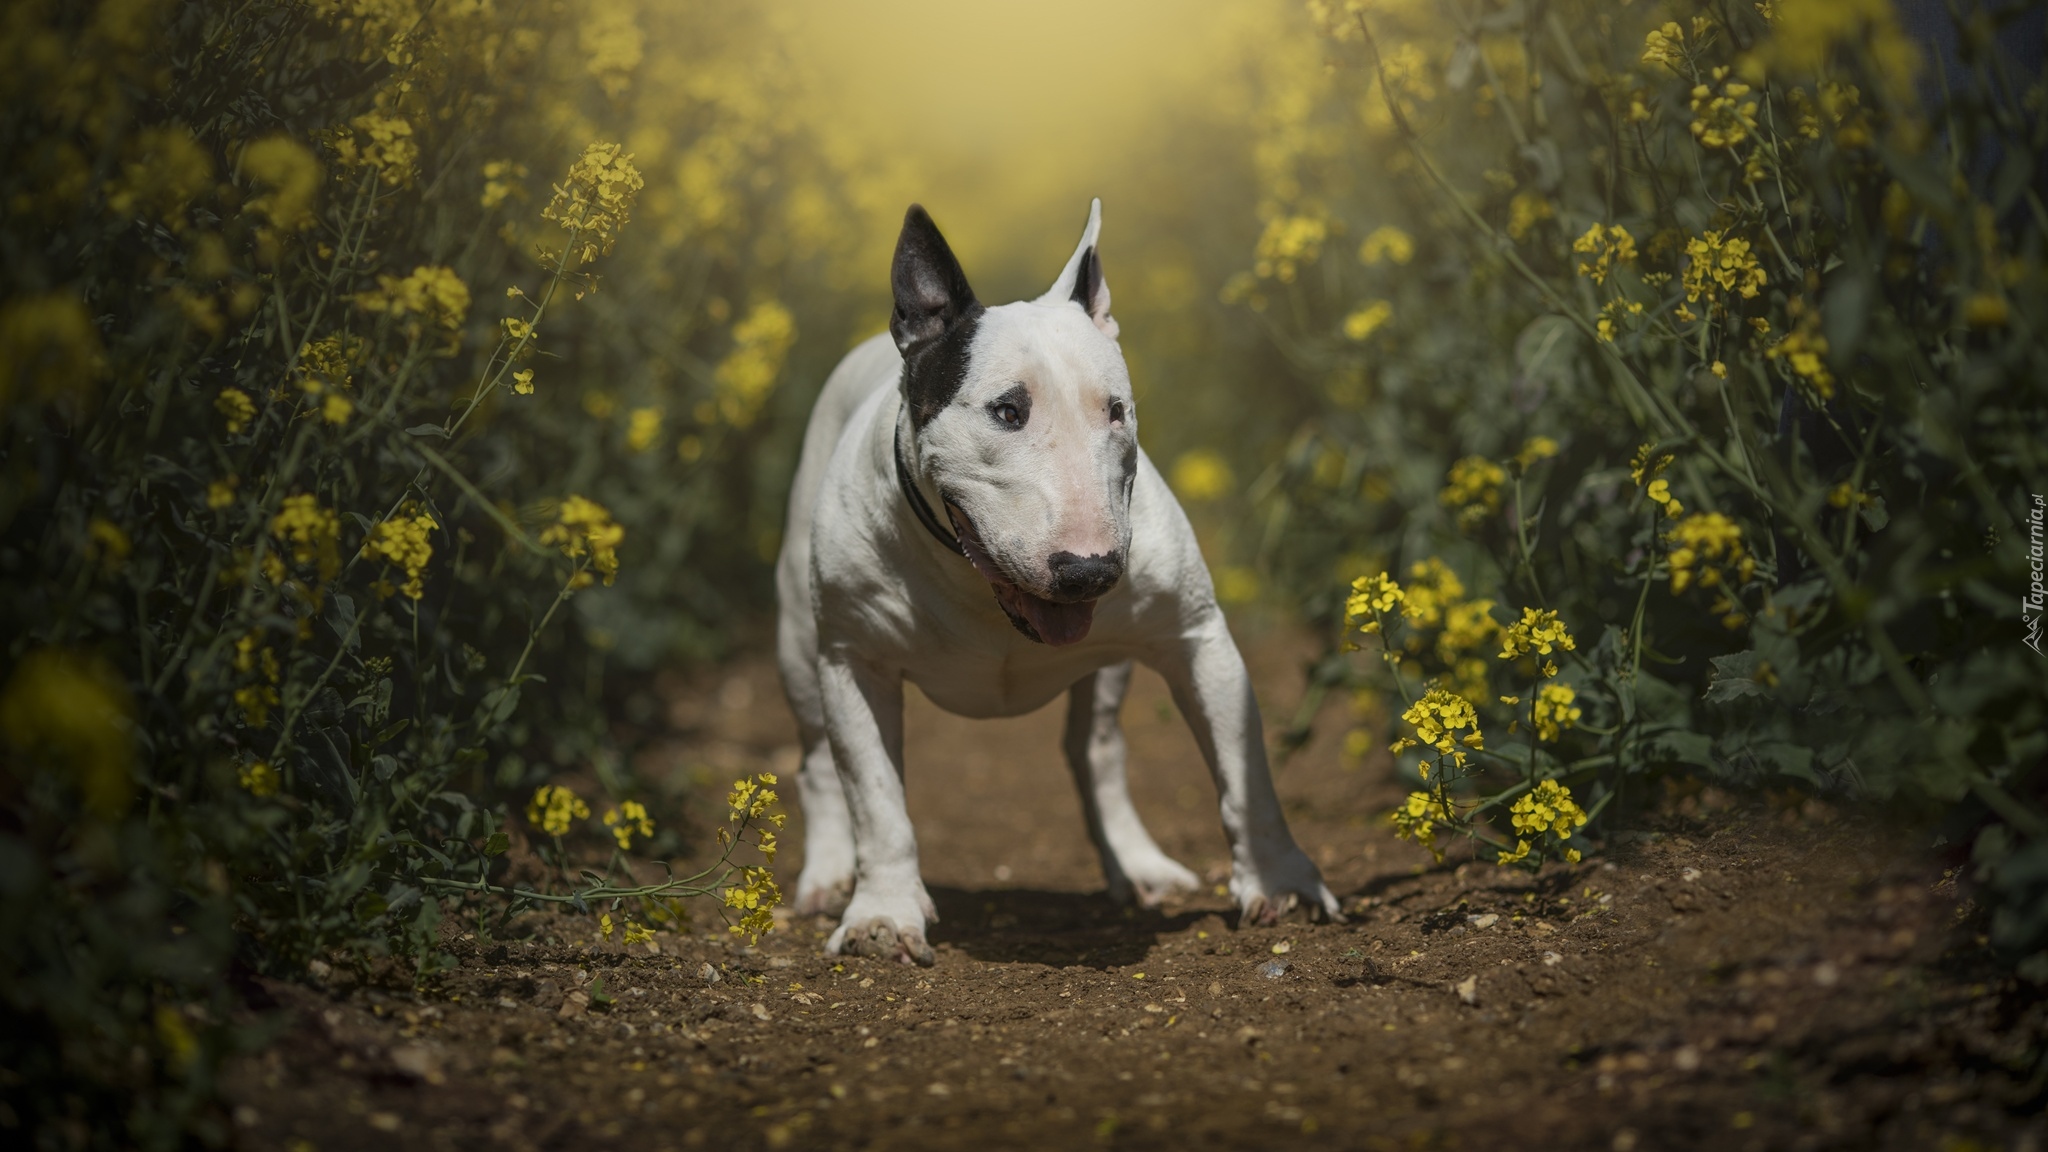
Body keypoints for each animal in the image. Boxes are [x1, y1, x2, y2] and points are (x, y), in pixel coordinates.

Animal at [774, 199, 1335, 959]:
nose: (1090, 571)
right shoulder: (853, 662)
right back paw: (829, 876)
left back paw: (1138, 865)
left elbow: (1246, 775)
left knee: (1095, 751)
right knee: (814, 763)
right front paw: (881, 916)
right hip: (798, 641)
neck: (982, 591)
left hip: (1109, 667)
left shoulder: (1198, 639)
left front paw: (1280, 883)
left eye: (1116, 411)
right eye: (1007, 410)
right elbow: (875, 798)